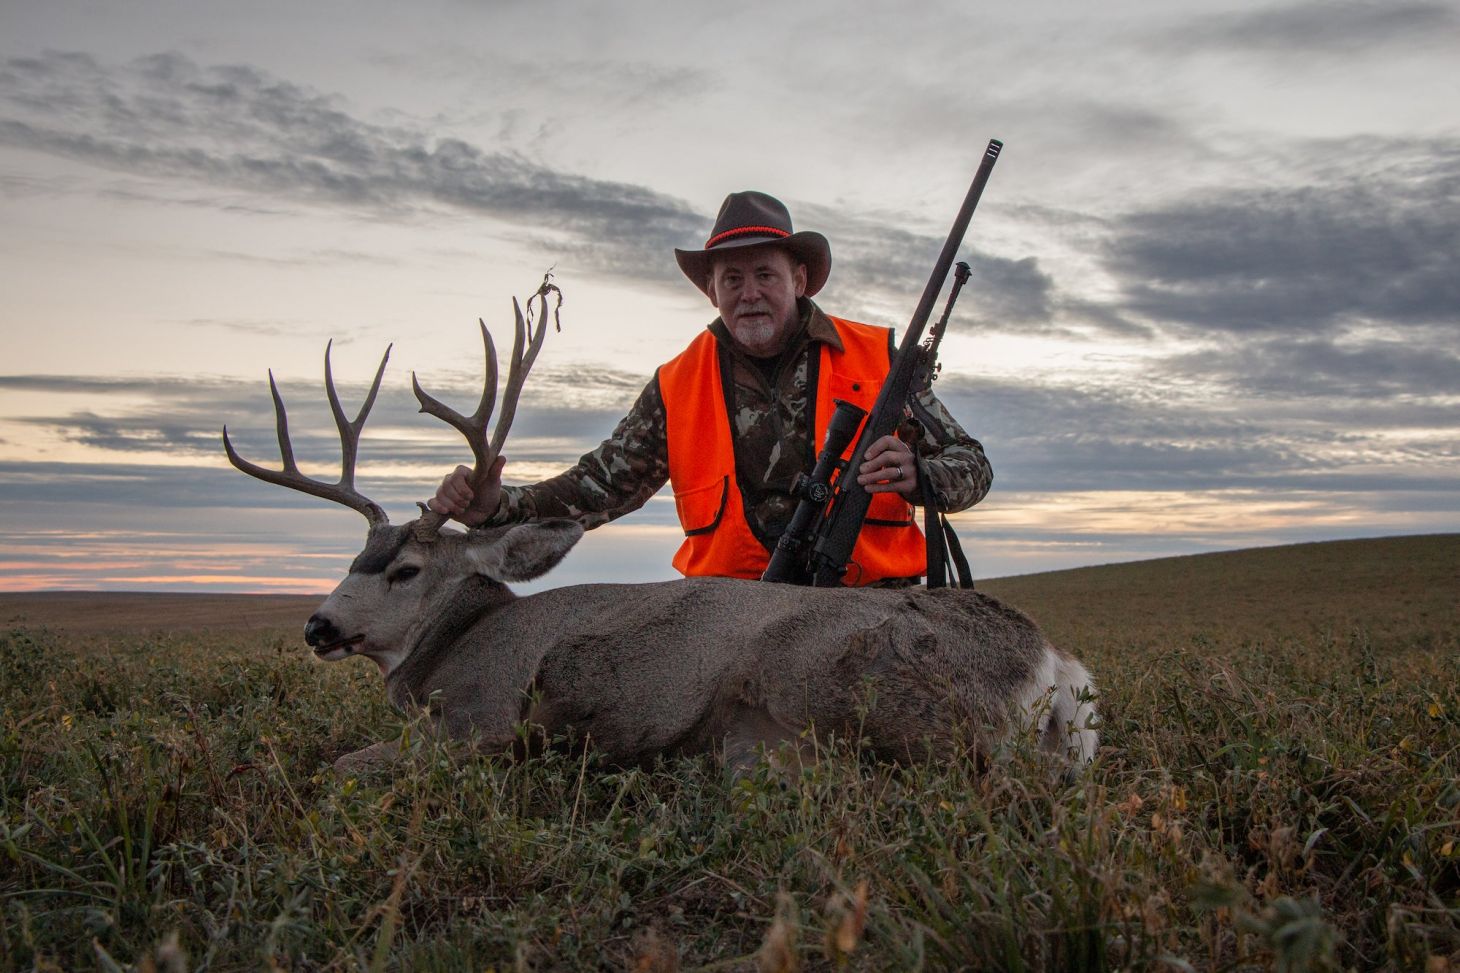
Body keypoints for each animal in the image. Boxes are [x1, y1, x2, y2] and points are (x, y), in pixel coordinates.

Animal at [223, 279, 1097, 776]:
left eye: (404, 567)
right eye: (352, 558)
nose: (318, 624)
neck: (458, 643)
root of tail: (1056, 666)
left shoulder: (480, 718)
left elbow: (338, 766)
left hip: (841, 679)